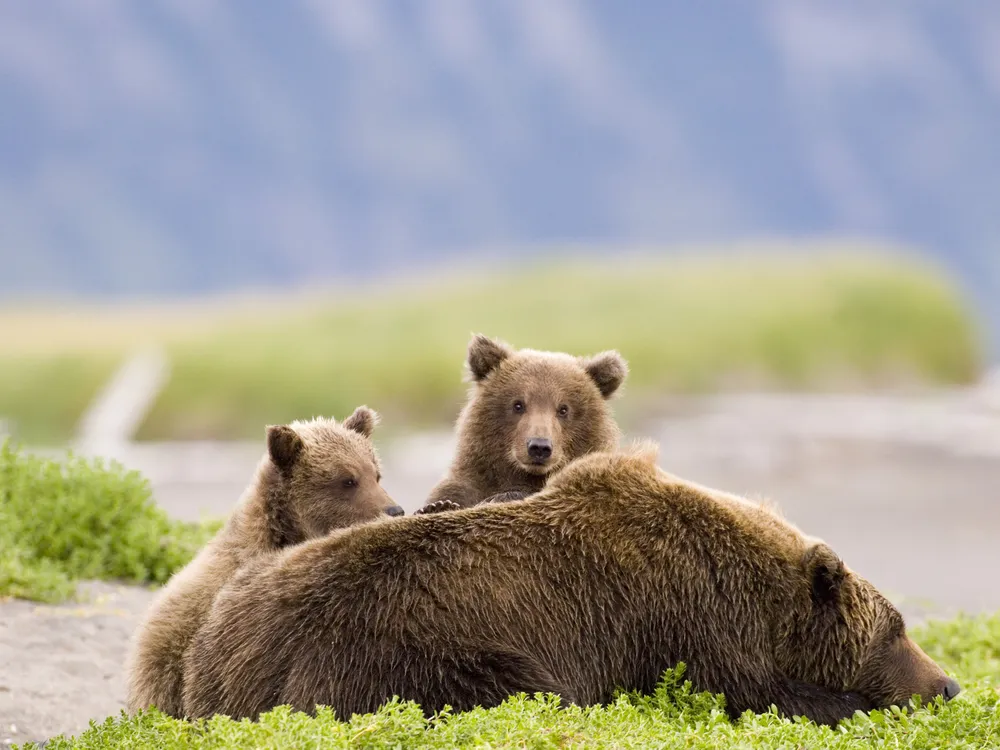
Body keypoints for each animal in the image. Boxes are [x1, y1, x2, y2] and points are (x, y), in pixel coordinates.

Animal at [182, 444, 960, 724]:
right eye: (897, 630)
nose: (949, 685)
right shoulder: (679, 621)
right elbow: (755, 691)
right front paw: (850, 703)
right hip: (405, 648)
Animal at [414, 336, 624, 516]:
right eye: (518, 405)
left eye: (563, 409)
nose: (539, 447)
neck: (523, 475)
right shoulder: (469, 483)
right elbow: (450, 495)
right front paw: (436, 506)